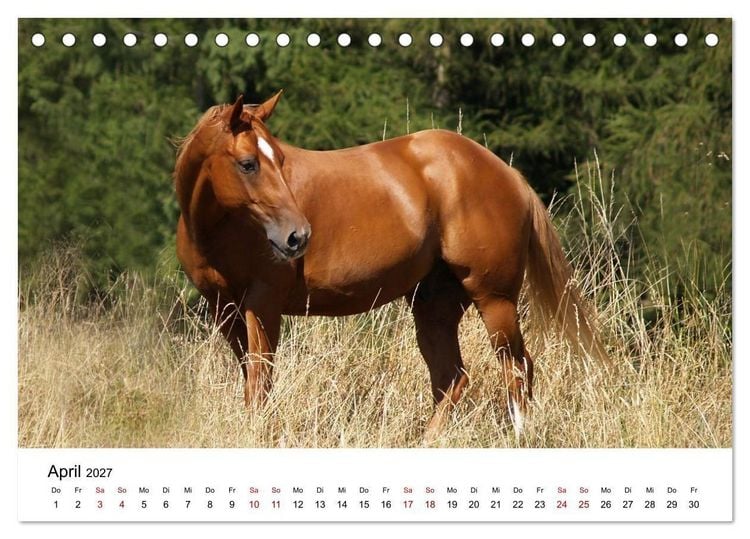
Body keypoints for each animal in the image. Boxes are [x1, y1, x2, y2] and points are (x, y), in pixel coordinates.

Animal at [174, 91, 608, 441]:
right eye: (248, 163)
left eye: (280, 159)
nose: (297, 237)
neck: (220, 228)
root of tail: (506, 173)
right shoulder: (225, 310)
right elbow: (252, 383)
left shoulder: (263, 305)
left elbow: (260, 383)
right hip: (435, 306)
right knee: (453, 378)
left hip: (494, 300)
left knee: (516, 369)